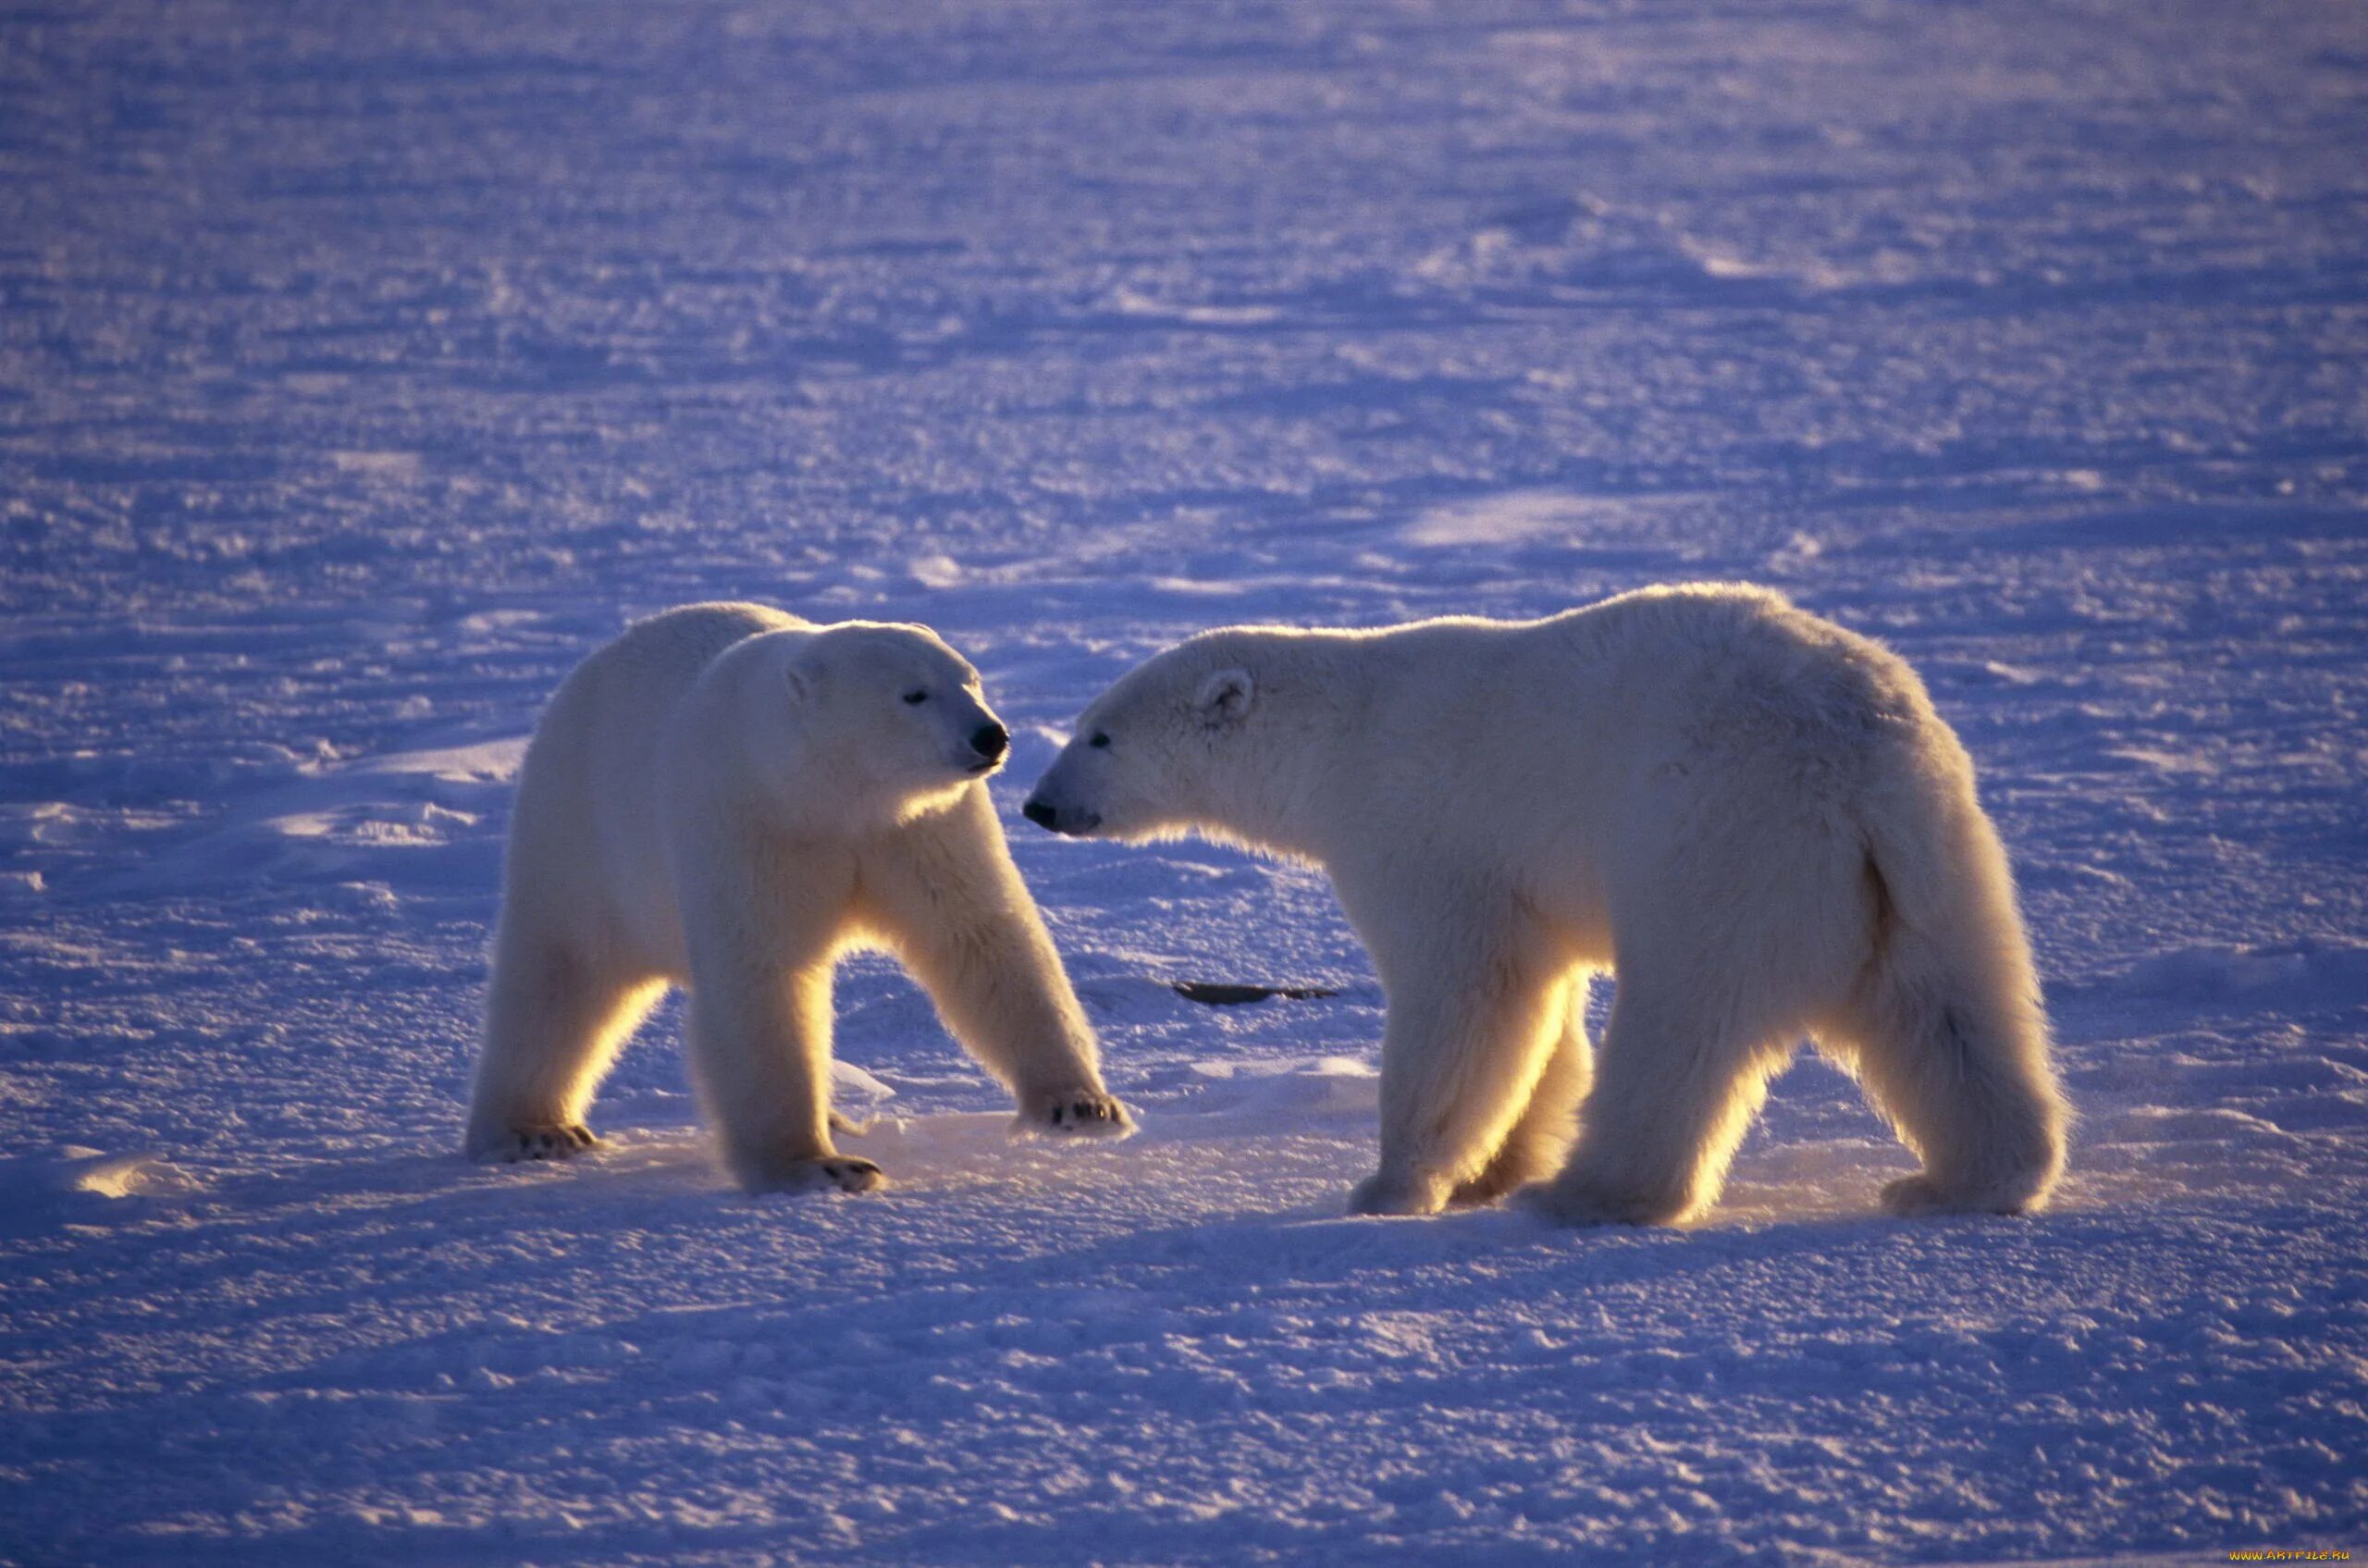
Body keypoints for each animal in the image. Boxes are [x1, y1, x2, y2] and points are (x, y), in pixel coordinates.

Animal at [466, 606, 1131, 1198]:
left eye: (970, 678)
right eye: (914, 694)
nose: (990, 735)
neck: (825, 792)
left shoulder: (916, 828)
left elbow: (980, 936)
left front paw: (1079, 1105)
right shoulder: (750, 822)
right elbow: (764, 977)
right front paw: (820, 1167)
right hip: (580, 834)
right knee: (560, 977)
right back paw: (534, 1130)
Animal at [1028, 586, 2065, 1231]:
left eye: (1100, 734)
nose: (1039, 805)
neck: (1338, 737)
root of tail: (1857, 748)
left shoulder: (1423, 832)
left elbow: (1469, 998)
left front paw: (1391, 1184)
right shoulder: (1520, 881)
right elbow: (1541, 1010)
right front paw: (1492, 1169)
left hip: (1720, 832)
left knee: (1683, 1019)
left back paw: (1593, 1193)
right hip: (1920, 856)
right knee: (1945, 1008)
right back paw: (1961, 1178)